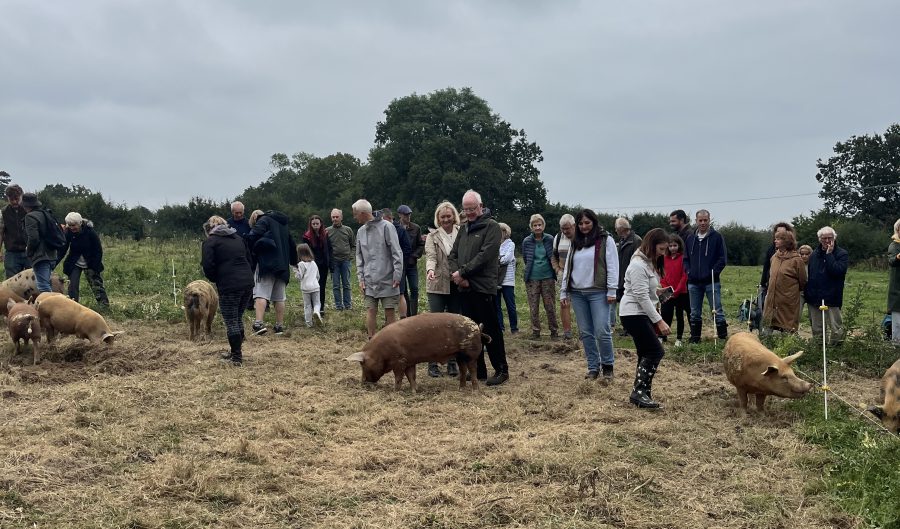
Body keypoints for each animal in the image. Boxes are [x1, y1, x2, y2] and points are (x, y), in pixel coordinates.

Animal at [342, 312, 488, 390]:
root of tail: (477, 327)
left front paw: (395, 391)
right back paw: (461, 388)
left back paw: (475, 390)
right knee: (463, 370)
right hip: (459, 355)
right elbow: (411, 376)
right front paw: (414, 390)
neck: (380, 353)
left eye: (362, 364)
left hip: (471, 353)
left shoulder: (399, 361)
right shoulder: (409, 361)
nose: (362, 382)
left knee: (473, 370)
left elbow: (399, 377)